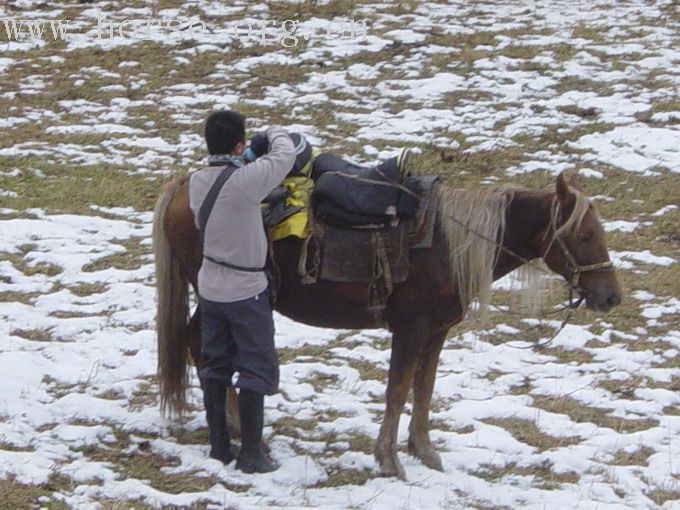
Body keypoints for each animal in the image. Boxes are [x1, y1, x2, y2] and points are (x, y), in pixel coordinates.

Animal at [153, 173, 620, 480]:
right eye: (582, 237)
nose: (610, 297)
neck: (447, 244)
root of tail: (184, 186)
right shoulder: (410, 329)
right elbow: (398, 390)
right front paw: (389, 460)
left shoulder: (436, 331)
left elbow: (424, 389)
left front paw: (424, 451)